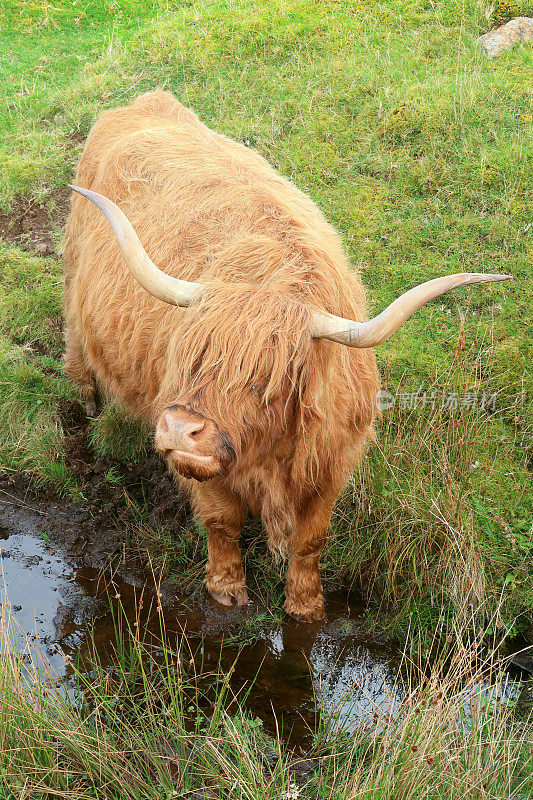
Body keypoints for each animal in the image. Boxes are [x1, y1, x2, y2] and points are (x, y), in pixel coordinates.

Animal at [62, 90, 508, 620]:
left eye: (266, 378)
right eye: (189, 356)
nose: (178, 429)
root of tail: (146, 101)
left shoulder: (333, 462)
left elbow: (311, 540)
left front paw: (306, 604)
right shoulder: (209, 473)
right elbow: (222, 521)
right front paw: (226, 588)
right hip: (74, 270)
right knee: (74, 333)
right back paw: (88, 400)